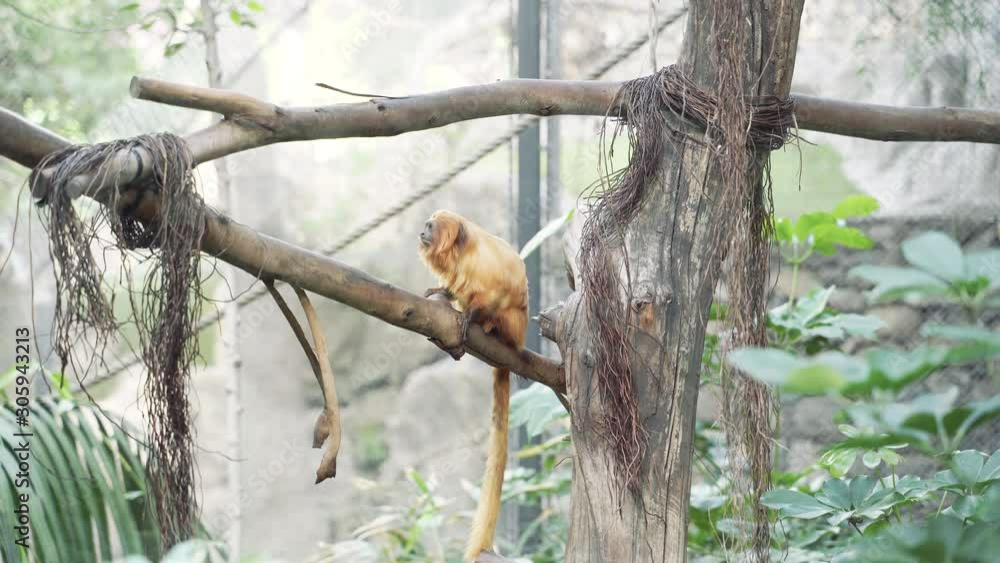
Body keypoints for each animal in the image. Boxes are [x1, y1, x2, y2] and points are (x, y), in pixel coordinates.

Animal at [418, 209, 527, 561]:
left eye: (430, 226)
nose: (421, 232)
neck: (461, 254)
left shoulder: (486, 269)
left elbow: (499, 293)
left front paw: (474, 317)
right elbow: (453, 289)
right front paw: (442, 294)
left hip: (515, 326)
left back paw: (489, 330)